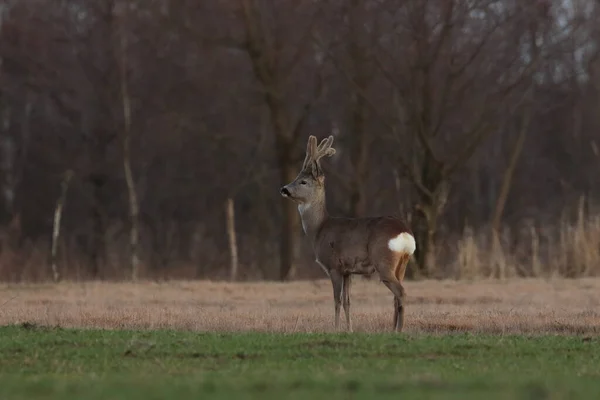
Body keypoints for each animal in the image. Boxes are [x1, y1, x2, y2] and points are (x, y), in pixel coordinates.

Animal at [278, 134, 414, 332]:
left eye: (303, 181)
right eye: (296, 177)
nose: (284, 189)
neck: (319, 229)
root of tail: (405, 234)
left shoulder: (333, 266)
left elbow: (337, 300)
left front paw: (335, 329)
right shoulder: (348, 271)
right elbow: (348, 302)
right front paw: (350, 330)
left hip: (383, 261)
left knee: (401, 292)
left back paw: (398, 330)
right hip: (402, 263)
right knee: (397, 296)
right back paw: (392, 329)